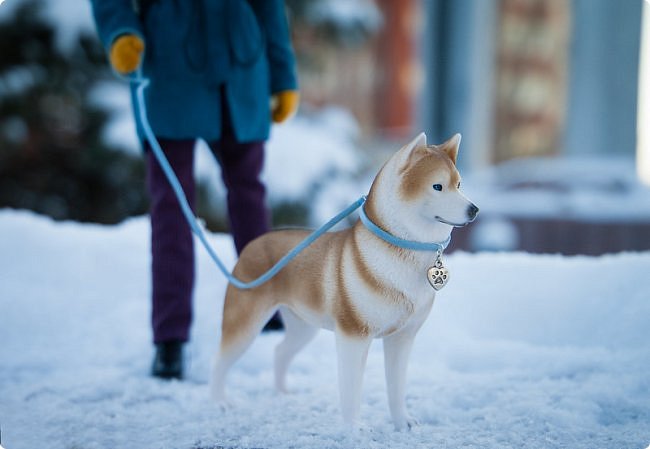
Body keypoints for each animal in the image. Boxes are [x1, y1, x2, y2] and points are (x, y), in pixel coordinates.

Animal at [211, 134, 476, 430]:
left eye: (459, 184)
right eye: (437, 186)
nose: (474, 209)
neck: (402, 250)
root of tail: (254, 243)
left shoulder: (402, 337)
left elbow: (396, 388)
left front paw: (402, 422)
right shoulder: (353, 336)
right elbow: (351, 390)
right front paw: (354, 428)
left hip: (303, 327)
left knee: (280, 352)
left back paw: (282, 393)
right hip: (245, 323)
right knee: (220, 360)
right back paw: (219, 401)